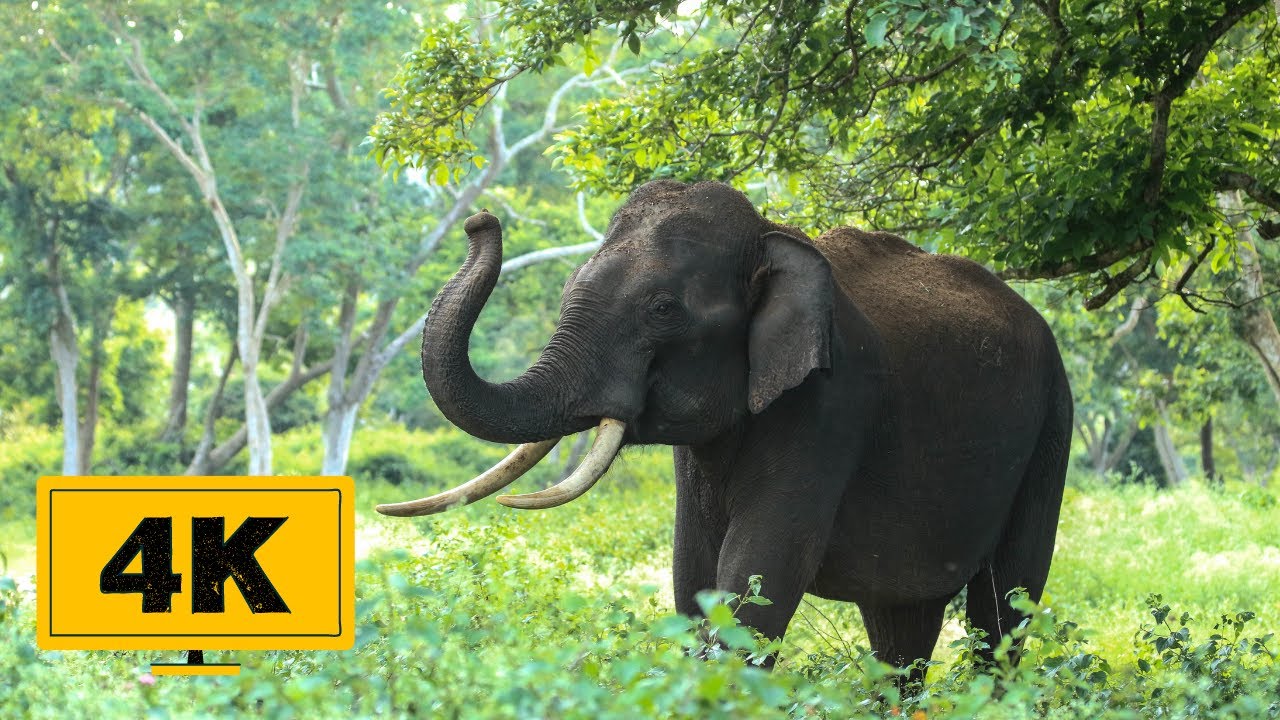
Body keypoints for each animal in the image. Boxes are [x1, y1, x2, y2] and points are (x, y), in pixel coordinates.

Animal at [377, 180, 1072, 681]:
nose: (479, 221)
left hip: (1053, 426)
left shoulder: (830, 406)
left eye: (662, 308)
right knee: (901, 628)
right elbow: (694, 576)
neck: (771, 236)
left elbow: (757, 579)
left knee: (1005, 607)